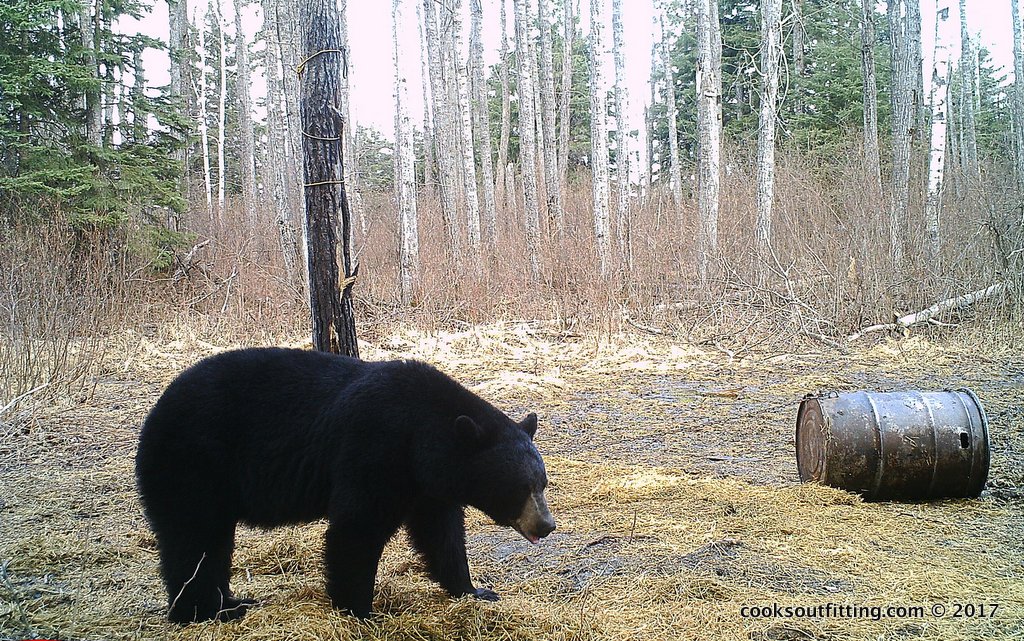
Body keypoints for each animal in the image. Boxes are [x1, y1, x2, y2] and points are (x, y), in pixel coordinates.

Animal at [137, 346, 557, 622]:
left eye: (543, 483)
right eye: (521, 487)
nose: (547, 525)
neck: (422, 434)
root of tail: (155, 412)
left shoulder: (427, 484)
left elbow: (442, 535)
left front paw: (476, 590)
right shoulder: (376, 448)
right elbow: (357, 528)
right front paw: (361, 611)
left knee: (212, 541)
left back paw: (231, 600)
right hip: (194, 463)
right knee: (195, 538)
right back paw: (205, 611)